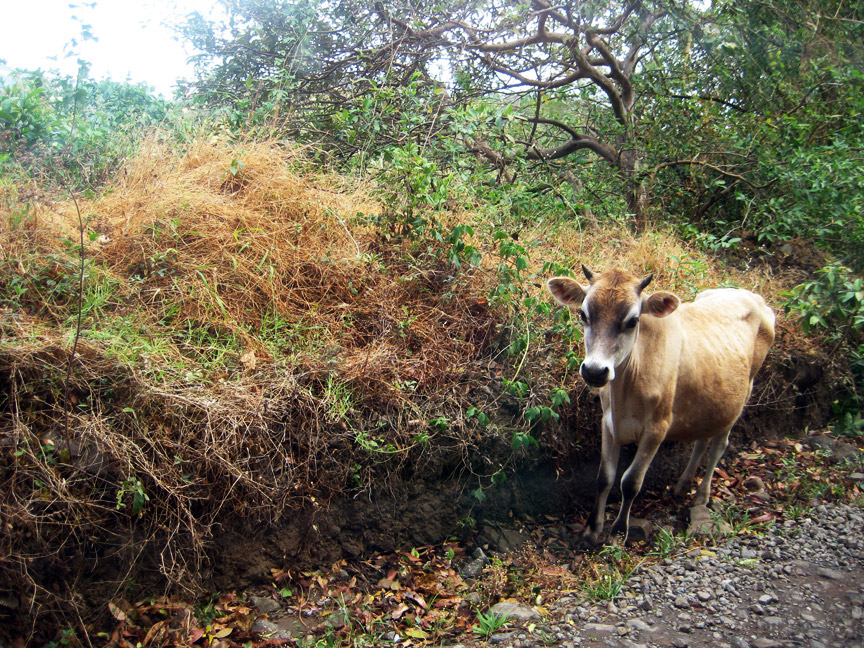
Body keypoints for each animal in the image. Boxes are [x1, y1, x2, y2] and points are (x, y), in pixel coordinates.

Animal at [548, 266, 776, 544]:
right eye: (583, 314)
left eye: (633, 320)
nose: (595, 370)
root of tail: (751, 296)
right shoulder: (608, 422)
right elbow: (604, 478)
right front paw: (592, 530)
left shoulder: (658, 428)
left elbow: (630, 482)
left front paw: (618, 533)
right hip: (711, 404)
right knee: (701, 441)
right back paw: (683, 485)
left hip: (742, 397)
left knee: (718, 447)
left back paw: (702, 495)